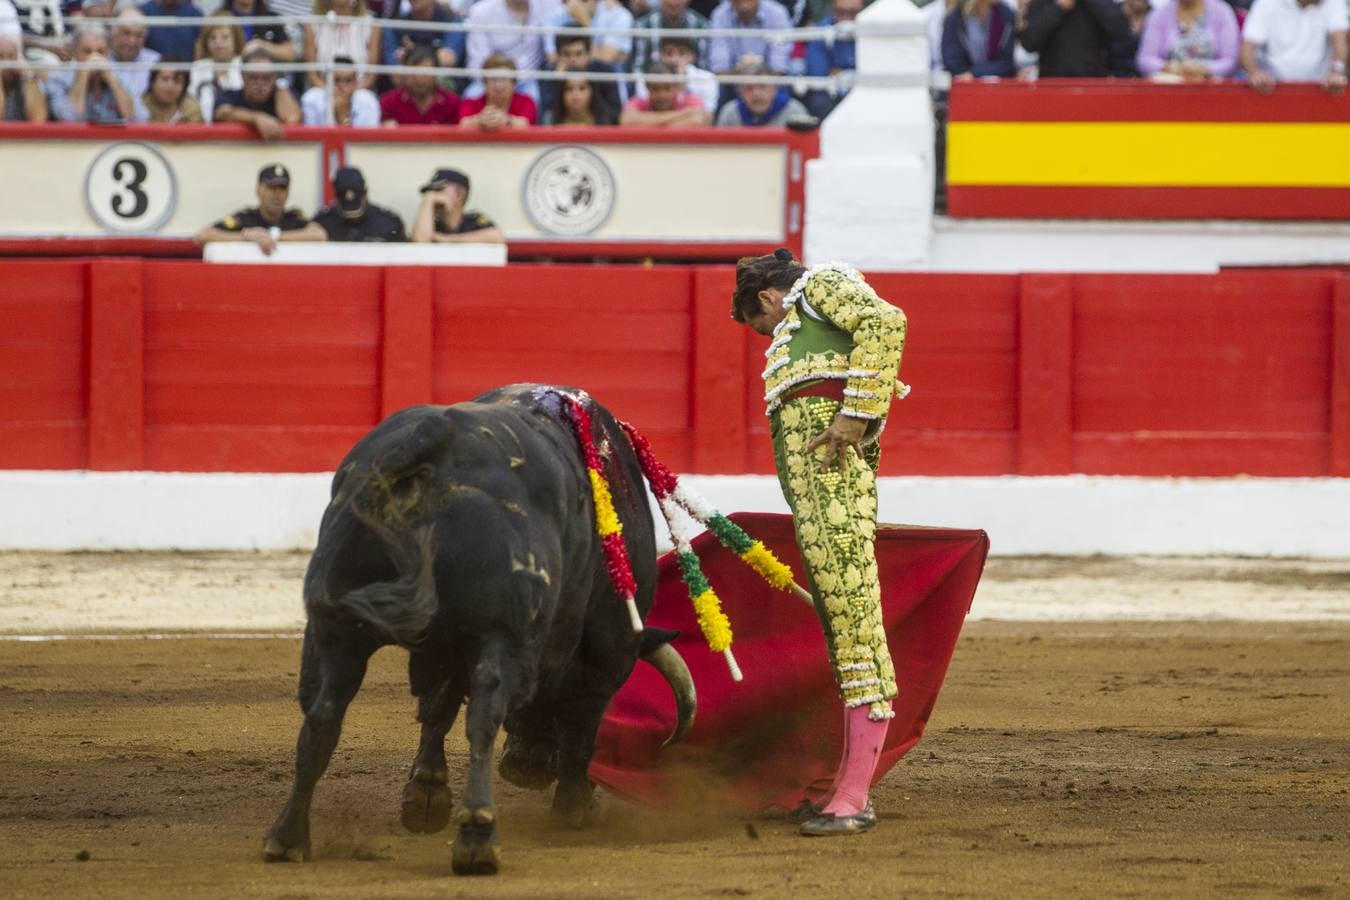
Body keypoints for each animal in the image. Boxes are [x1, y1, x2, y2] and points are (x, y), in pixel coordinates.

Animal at [261, 385, 696, 874]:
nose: (526, 769)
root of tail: (436, 441)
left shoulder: (447, 643)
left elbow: (438, 707)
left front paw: (426, 797)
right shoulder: (609, 648)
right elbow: (582, 724)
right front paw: (576, 806)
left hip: (338, 633)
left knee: (322, 718)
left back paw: (287, 838)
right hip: (502, 634)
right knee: (483, 716)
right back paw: (478, 838)